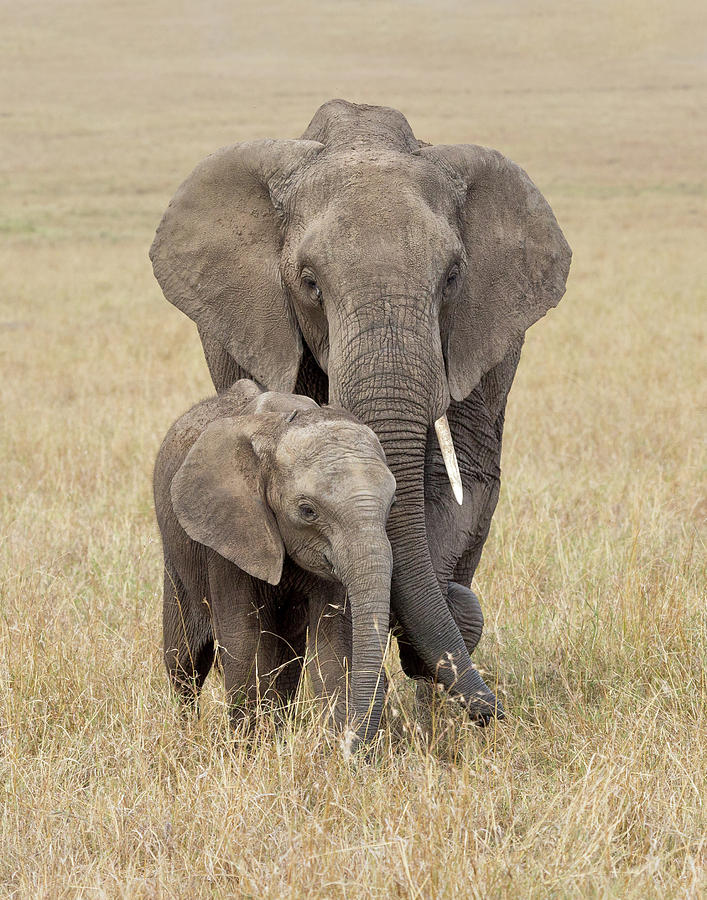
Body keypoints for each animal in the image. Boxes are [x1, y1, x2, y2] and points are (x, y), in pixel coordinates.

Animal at [154, 380, 396, 744]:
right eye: (307, 510)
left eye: (392, 502)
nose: (352, 745)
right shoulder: (229, 535)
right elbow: (242, 645)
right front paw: (247, 748)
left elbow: (330, 647)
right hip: (177, 555)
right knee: (184, 662)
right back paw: (187, 733)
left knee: (286, 660)